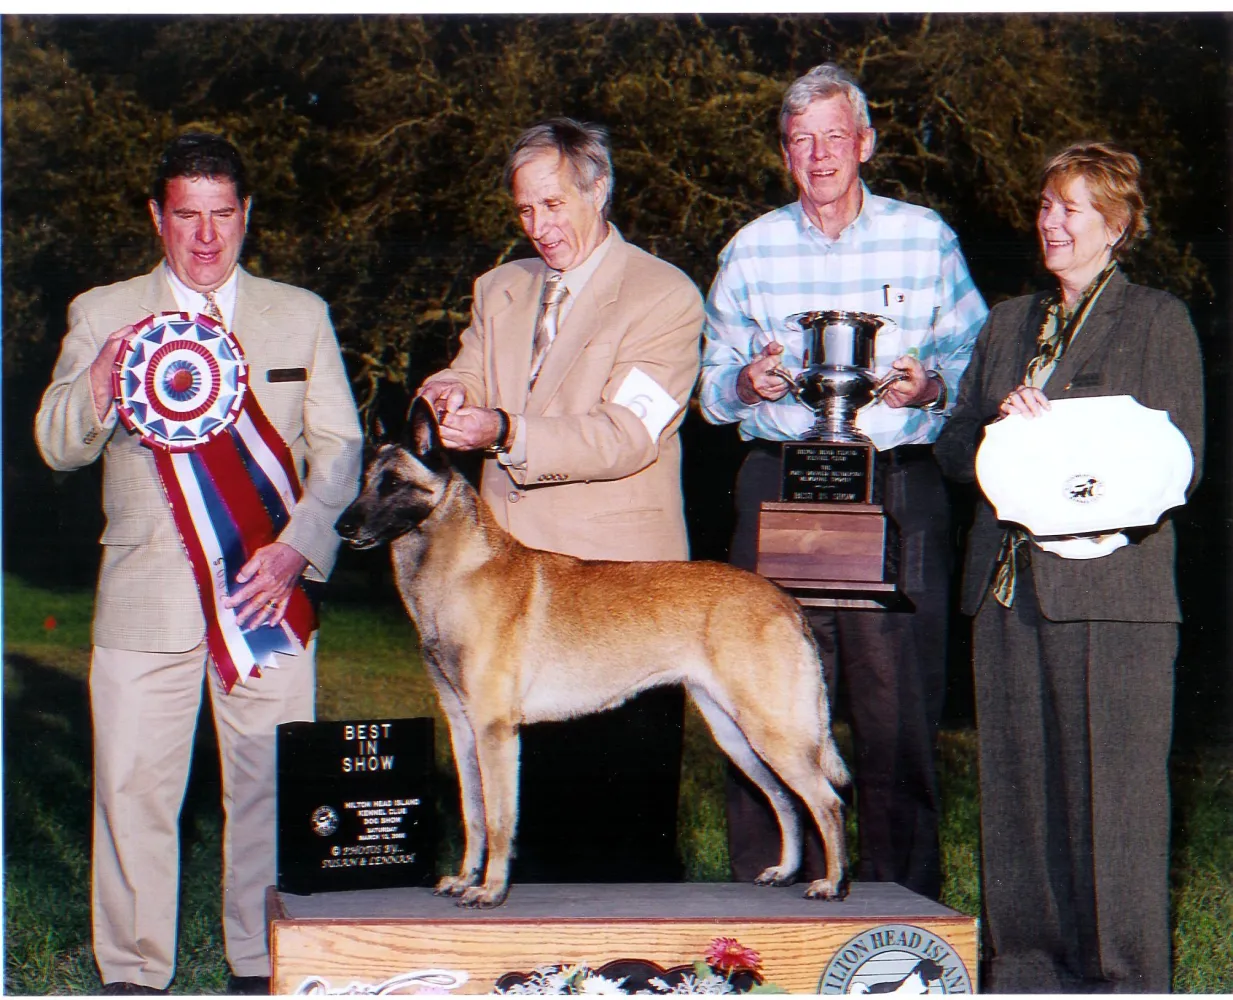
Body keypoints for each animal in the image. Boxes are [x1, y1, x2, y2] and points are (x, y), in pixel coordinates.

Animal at [337, 399, 848, 907]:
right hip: (736, 734)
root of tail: (784, 600)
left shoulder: (495, 730)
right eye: (364, 480)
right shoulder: (464, 730)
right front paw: (465, 879)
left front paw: (492, 890)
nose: (343, 527)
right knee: (786, 800)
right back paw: (786, 871)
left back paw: (833, 883)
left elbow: (500, 820)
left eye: (394, 483)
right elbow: (474, 815)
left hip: (769, 729)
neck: (459, 571)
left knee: (827, 801)